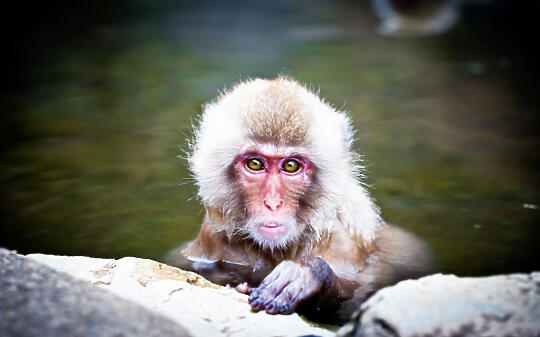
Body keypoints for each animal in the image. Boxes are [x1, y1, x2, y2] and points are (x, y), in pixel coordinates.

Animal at [167, 76, 432, 322]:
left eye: (291, 166)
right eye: (255, 164)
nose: (273, 203)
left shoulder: (340, 242)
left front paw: (305, 274)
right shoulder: (211, 238)